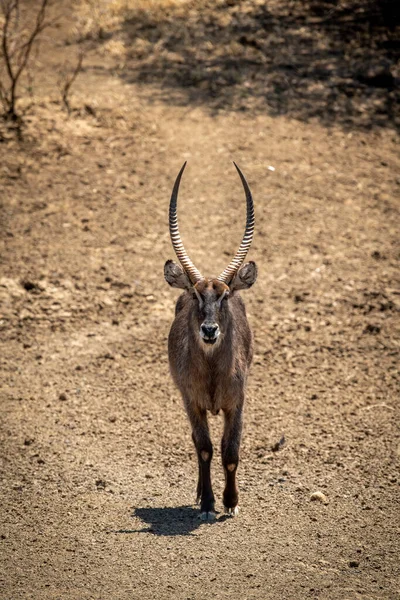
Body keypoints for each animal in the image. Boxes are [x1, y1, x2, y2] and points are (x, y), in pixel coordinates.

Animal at [164, 163, 258, 520]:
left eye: (225, 295)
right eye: (195, 294)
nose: (209, 331)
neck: (213, 373)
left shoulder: (237, 403)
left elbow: (230, 452)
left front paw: (231, 503)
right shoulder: (192, 402)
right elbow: (204, 448)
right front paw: (207, 504)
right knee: (195, 441)